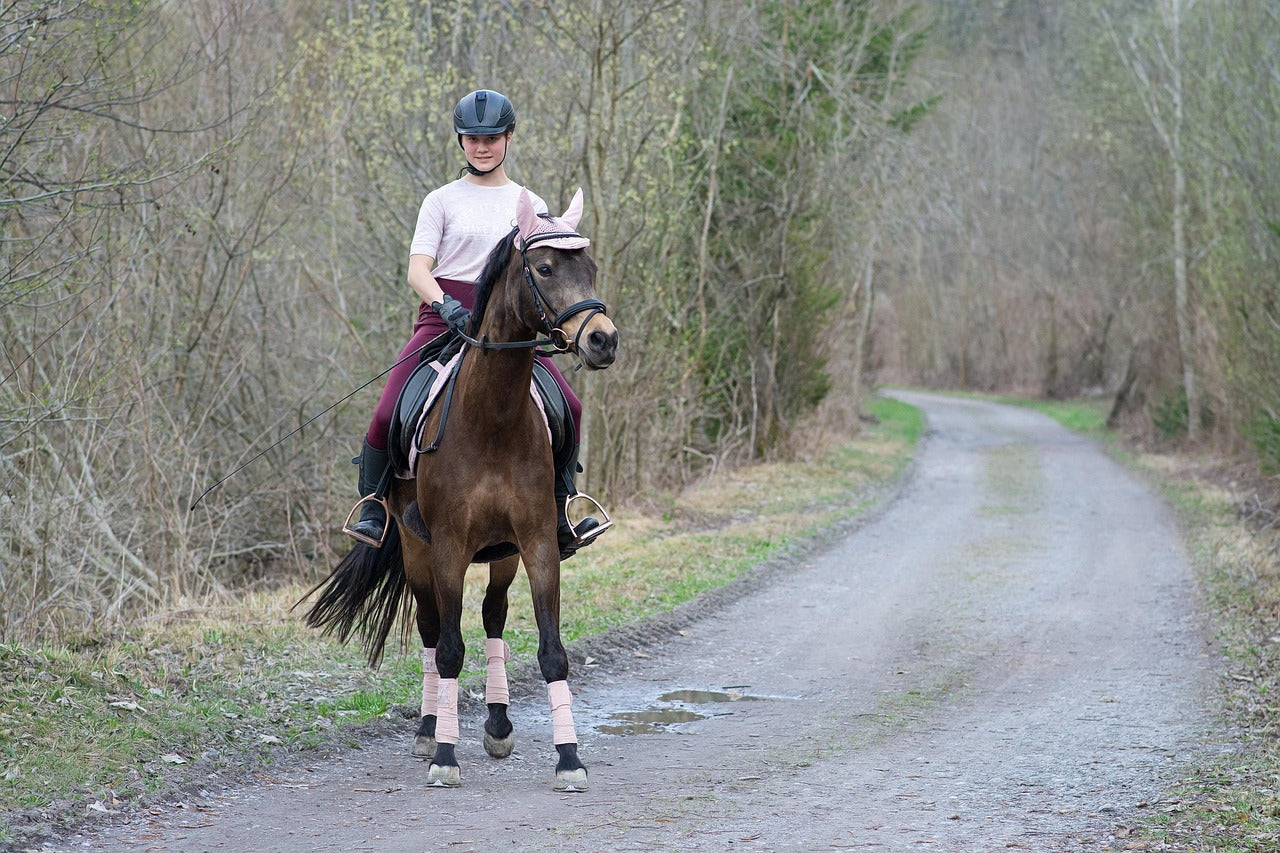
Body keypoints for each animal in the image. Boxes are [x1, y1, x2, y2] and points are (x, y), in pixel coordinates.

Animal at [300, 188, 618, 792]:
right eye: (545, 268)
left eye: (591, 267)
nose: (603, 340)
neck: (492, 418)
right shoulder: (447, 546)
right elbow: (448, 650)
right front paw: (445, 755)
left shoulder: (538, 543)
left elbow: (552, 652)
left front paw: (569, 758)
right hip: (415, 546)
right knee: (430, 630)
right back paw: (429, 731)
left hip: (503, 553)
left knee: (493, 615)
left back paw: (497, 724)